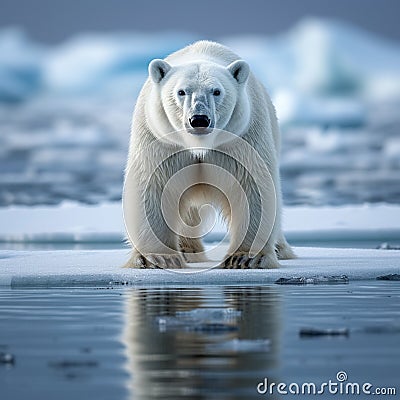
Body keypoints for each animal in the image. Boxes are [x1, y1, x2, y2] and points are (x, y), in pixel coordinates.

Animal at [123, 39, 296, 268]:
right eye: (181, 91)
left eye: (216, 91)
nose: (199, 119)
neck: (200, 145)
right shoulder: (162, 139)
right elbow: (154, 183)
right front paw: (158, 258)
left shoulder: (240, 137)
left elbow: (252, 185)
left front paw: (244, 258)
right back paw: (187, 249)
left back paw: (280, 249)